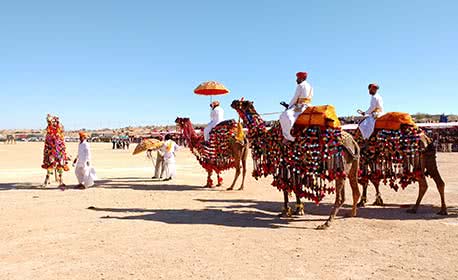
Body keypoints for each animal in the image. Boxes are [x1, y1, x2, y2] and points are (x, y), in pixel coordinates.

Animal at [233, 99, 362, 229]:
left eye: (242, 103)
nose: (233, 102)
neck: (269, 138)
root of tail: (353, 142)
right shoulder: (295, 165)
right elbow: (296, 187)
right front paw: (298, 210)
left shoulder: (283, 163)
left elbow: (285, 187)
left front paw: (285, 211)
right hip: (351, 167)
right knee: (355, 191)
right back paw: (351, 213)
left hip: (340, 166)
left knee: (341, 197)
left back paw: (326, 223)